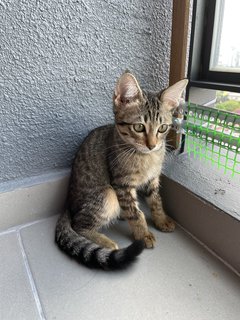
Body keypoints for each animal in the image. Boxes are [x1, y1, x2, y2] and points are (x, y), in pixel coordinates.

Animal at [55, 72, 188, 270]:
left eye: (163, 128)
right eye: (139, 127)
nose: (152, 145)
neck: (146, 157)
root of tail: (68, 203)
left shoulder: (152, 179)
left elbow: (156, 201)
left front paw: (161, 219)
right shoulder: (121, 184)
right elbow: (136, 213)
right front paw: (143, 234)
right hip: (107, 194)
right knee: (79, 224)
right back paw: (106, 242)